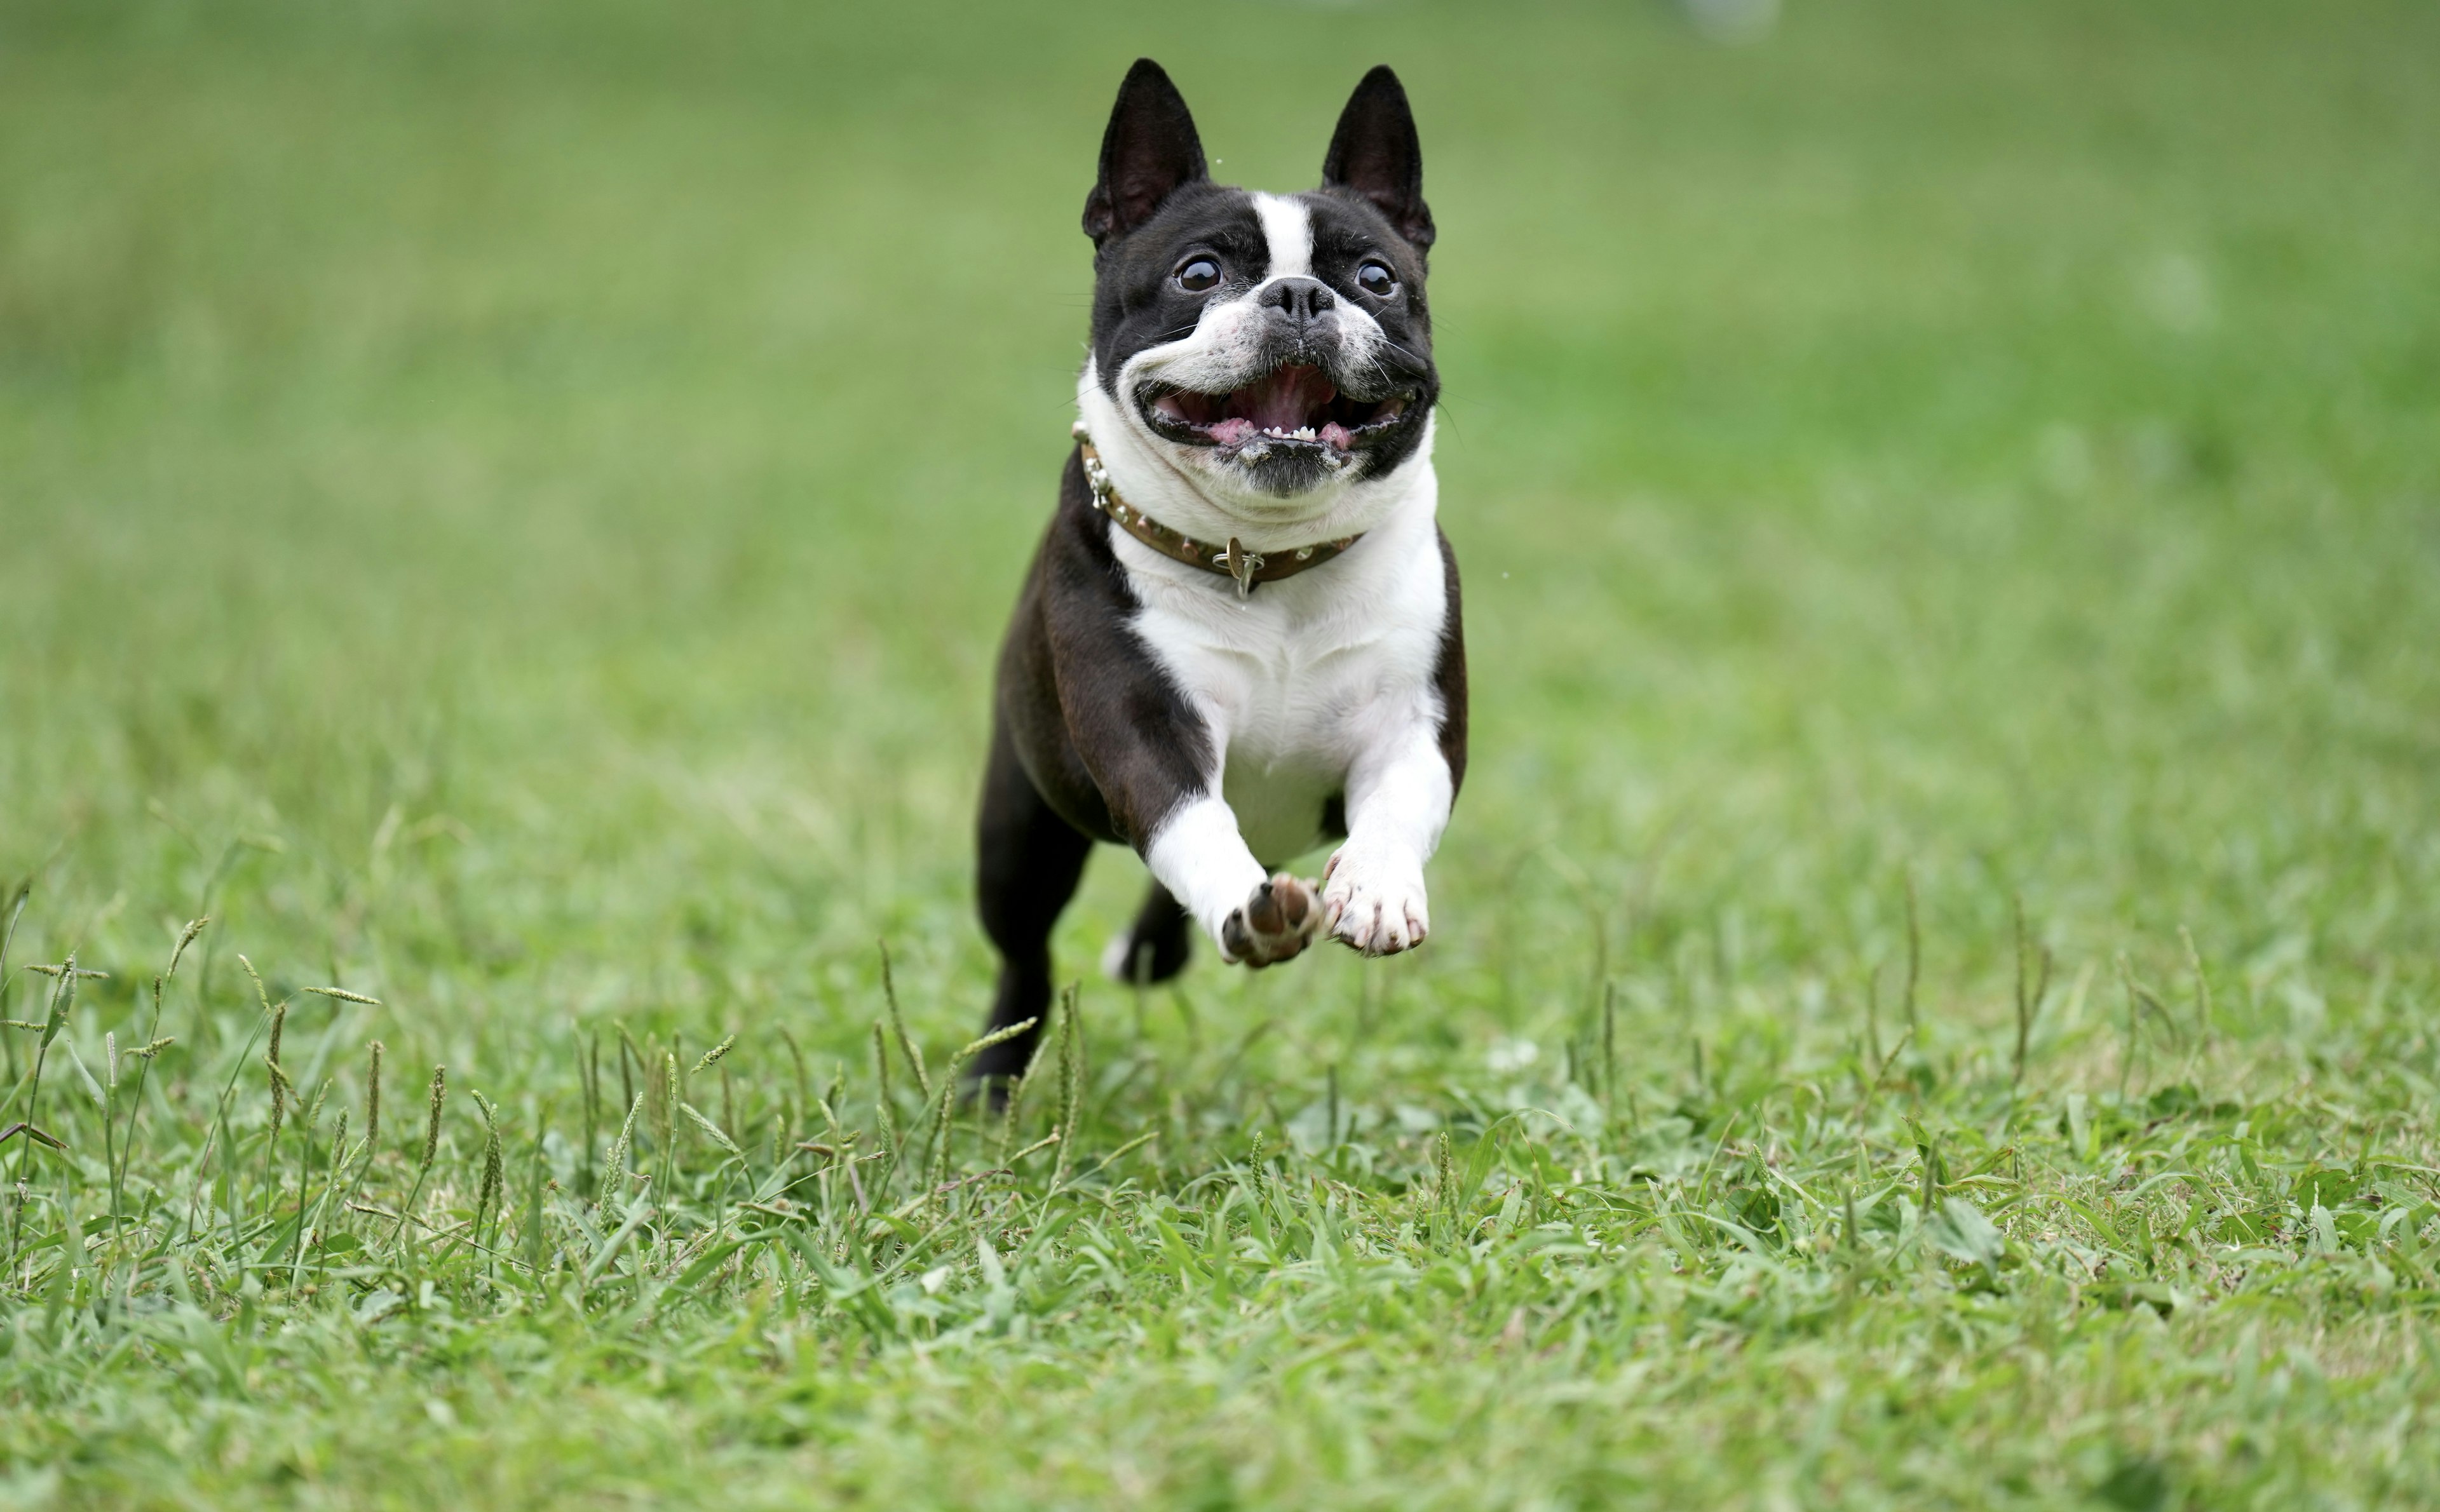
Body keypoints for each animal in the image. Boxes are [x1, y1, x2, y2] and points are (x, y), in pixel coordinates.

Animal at [971, 59, 1464, 1088]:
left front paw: (1377, 889)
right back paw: (990, 1081)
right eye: (1201, 273)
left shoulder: (1421, 722)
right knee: (1024, 955)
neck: (1266, 561)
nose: (1300, 296)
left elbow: (1399, 804)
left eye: (1376, 278)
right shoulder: (1144, 731)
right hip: (1021, 833)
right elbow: (1190, 820)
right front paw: (1247, 910)